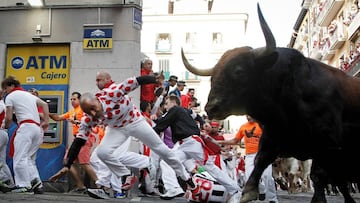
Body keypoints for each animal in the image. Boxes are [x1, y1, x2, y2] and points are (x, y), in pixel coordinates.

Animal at [181, 3, 360, 203]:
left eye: (239, 71)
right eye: (213, 76)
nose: (211, 107)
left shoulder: (326, 143)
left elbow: (317, 175)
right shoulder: (273, 137)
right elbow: (260, 161)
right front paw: (248, 192)